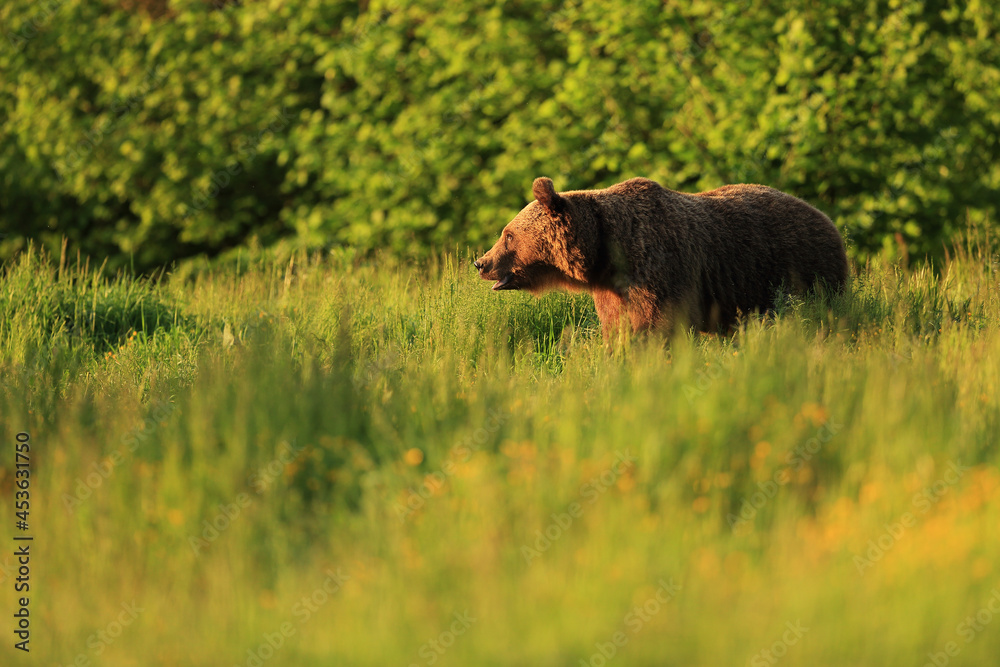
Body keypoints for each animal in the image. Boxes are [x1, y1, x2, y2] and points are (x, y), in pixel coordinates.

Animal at [474, 176, 848, 338]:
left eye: (508, 234)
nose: (481, 262)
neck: (606, 256)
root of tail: (827, 220)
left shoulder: (659, 271)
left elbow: (657, 325)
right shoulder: (612, 292)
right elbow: (618, 328)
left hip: (802, 273)